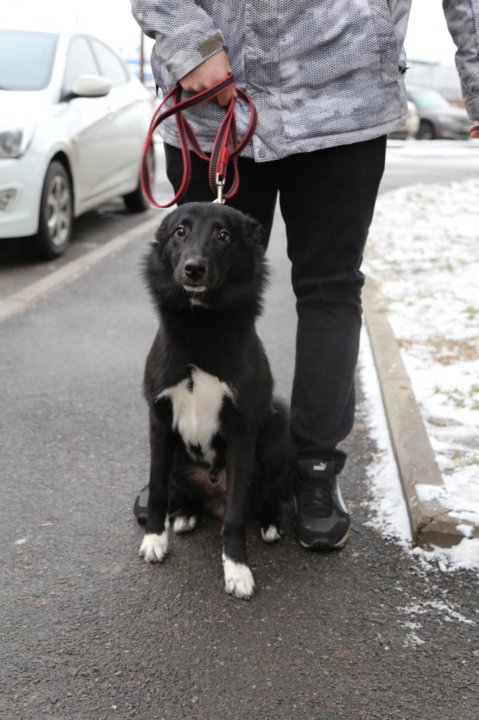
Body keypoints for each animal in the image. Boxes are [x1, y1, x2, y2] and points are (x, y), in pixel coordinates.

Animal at [137, 201, 290, 596]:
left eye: (224, 235)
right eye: (180, 231)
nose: (193, 268)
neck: (201, 325)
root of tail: (212, 492)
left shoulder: (241, 430)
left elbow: (235, 516)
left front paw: (237, 569)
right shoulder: (159, 420)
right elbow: (157, 487)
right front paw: (154, 538)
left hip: (277, 427)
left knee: (270, 492)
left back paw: (270, 522)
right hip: (177, 456)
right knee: (178, 489)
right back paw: (185, 514)